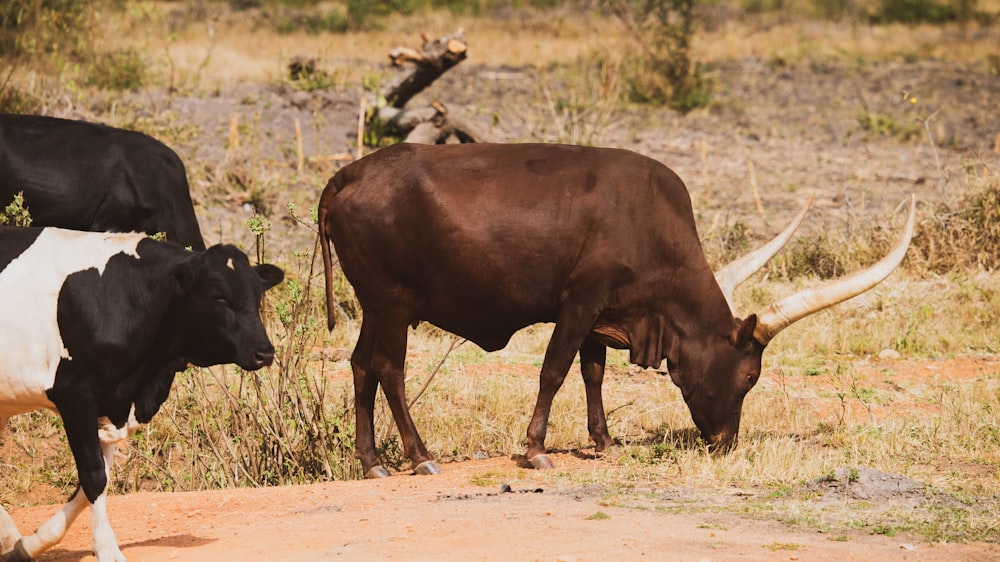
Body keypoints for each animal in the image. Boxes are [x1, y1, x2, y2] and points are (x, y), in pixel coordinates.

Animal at [0, 226, 284, 560]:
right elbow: (94, 475)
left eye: (257, 295)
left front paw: (26, 544)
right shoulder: (76, 395)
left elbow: (95, 482)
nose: (264, 353)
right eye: (219, 297)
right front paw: (107, 549)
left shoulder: (113, 405)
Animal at [318, 142, 916, 474]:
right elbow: (555, 370)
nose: (725, 443)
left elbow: (593, 372)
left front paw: (603, 440)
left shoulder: (601, 314)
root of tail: (349, 175)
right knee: (389, 369)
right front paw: (536, 448)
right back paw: (419, 456)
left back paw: (371, 462)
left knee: (360, 366)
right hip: (393, 305)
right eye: (750, 377)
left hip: (374, 308)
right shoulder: (580, 302)